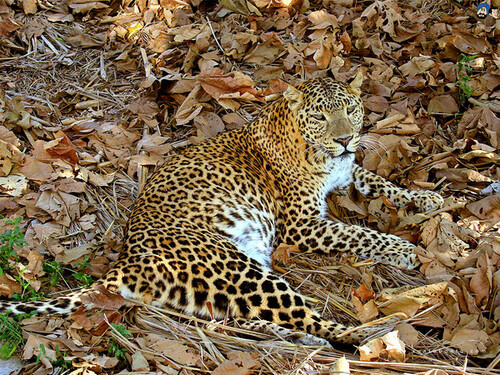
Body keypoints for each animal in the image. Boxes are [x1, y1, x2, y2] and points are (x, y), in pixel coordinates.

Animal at [1, 74, 444, 350]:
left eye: (351, 110)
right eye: (320, 116)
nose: (346, 138)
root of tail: (125, 264)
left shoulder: (347, 172)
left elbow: (377, 181)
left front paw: (429, 201)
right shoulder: (302, 225)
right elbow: (359, 233)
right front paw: (403, 249)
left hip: (216, 289)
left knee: (238, 319)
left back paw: (302, 340)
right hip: (239, 268)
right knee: (312, 318)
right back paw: (376, 333)